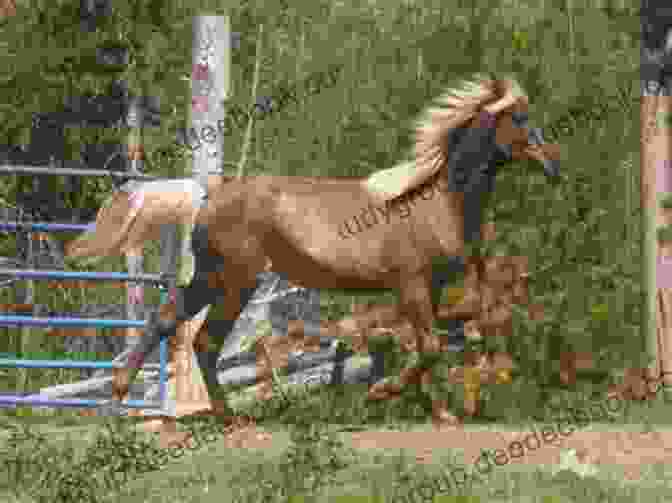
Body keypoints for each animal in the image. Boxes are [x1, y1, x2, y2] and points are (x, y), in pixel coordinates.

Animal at [68, 73, 560, 428]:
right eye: (519, 118)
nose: (553, 164)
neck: (435, 201)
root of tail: (210, 195)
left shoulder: (433, 288)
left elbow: (427, 347)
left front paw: (438, 411)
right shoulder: (412, 285)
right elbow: (431, 347)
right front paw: (382, 392)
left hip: (209, 278)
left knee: (167, 321)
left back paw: (119, 399)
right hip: (236, 280)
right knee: (204, 339)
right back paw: (229, 419)